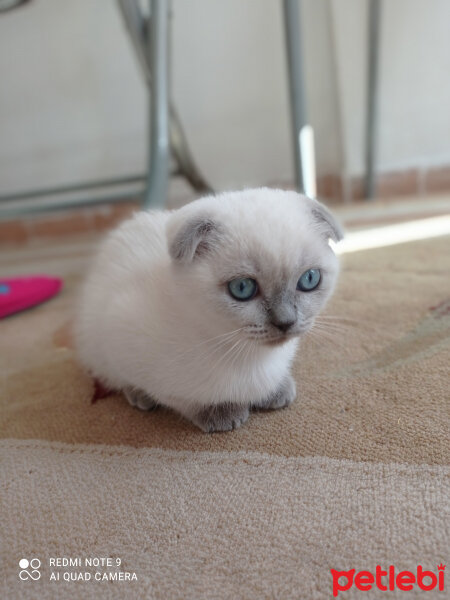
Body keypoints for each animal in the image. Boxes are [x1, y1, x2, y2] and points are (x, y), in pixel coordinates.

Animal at [74, 188, 342, 432]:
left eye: (309, 279)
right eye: (242, 288)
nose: (286, 322)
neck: (249, 356)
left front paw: (275, 390)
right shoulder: (119, 331)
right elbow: (179, 397)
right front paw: (220, 413)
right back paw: (139, 396)